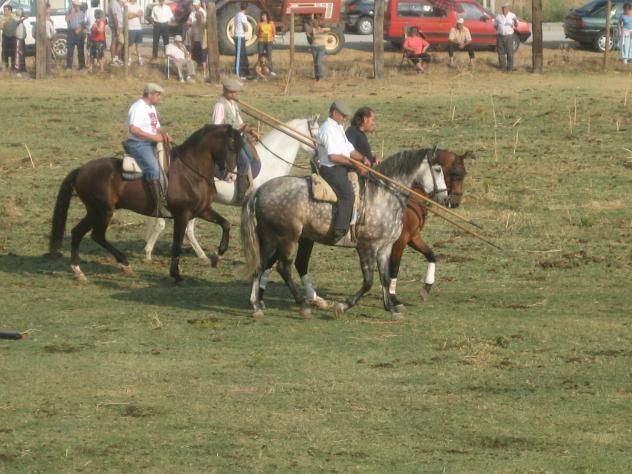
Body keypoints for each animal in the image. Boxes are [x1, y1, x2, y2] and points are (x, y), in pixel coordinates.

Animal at [47, 124, 242, 283]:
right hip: (103, 211)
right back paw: (124, 263)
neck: (190, 171)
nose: (231, 176)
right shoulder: (182, 215)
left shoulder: (202, 210)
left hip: (94, 212)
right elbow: (177, 245)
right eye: (231, 146)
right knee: (97, 235)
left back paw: (78, 271)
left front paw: (218, 255)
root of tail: (81, 170)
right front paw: (176, 275)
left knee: (77, 232)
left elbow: (225, 224)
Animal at [143, 118, 320, 265]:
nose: (319, 159)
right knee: (173, 227)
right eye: (317, 134)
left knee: (184, 229)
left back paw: (202, 256)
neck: (271, 161)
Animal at [240, 148, 449, 320]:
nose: (446, 198)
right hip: (287, 238)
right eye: (438, 169)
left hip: (270, 239)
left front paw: (391, 308)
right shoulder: (367, 247)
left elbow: (385, 277)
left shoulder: (384, 247)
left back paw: (256, 305)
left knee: (261, 265)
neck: (383, 195)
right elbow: (368, 281)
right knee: (284, 268)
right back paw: (303, 306)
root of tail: (259, 191)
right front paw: (342, 306)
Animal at [295, 149, 473, 307]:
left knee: (300, 263)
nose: (453, 202)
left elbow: (431, 255)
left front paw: (426, 287)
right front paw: (392, 297)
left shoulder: (412, 237)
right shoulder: (399, 240)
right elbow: (394, 267)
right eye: (456, 173)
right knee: (300, 263)